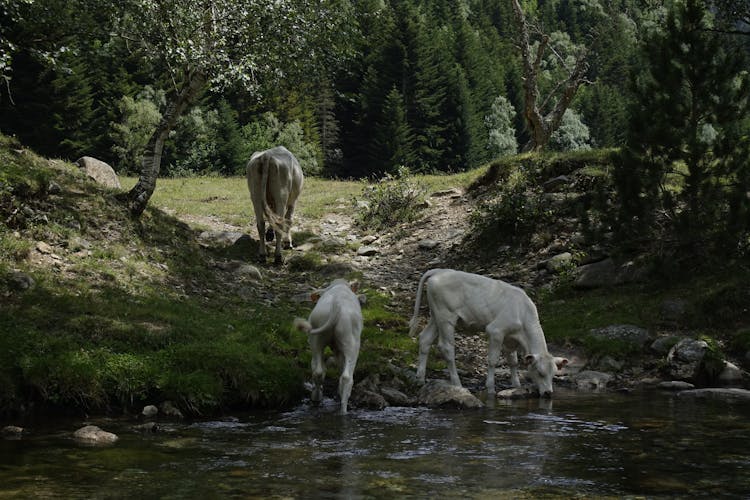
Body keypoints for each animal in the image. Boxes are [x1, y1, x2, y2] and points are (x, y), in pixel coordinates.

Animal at [294, 278, 364, 414]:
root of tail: (337, 305)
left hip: (316, 340)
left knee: (319, 371)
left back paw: (317, 399)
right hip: (351, 343)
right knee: (346, 376)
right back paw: (341, 409)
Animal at [412, 270, 568, 398]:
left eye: (554, 374)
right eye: (540, 373)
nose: (548, 393)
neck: (522, 313)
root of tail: (439, 271)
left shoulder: (510, 339)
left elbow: (513, 362)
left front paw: (516, 385)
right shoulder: (496, 330)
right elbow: (493, 360)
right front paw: (491, 388)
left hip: (436, 316)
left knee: (425, 339)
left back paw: (420, 379)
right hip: (446, 317)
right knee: (446, 348)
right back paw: (457, 383)